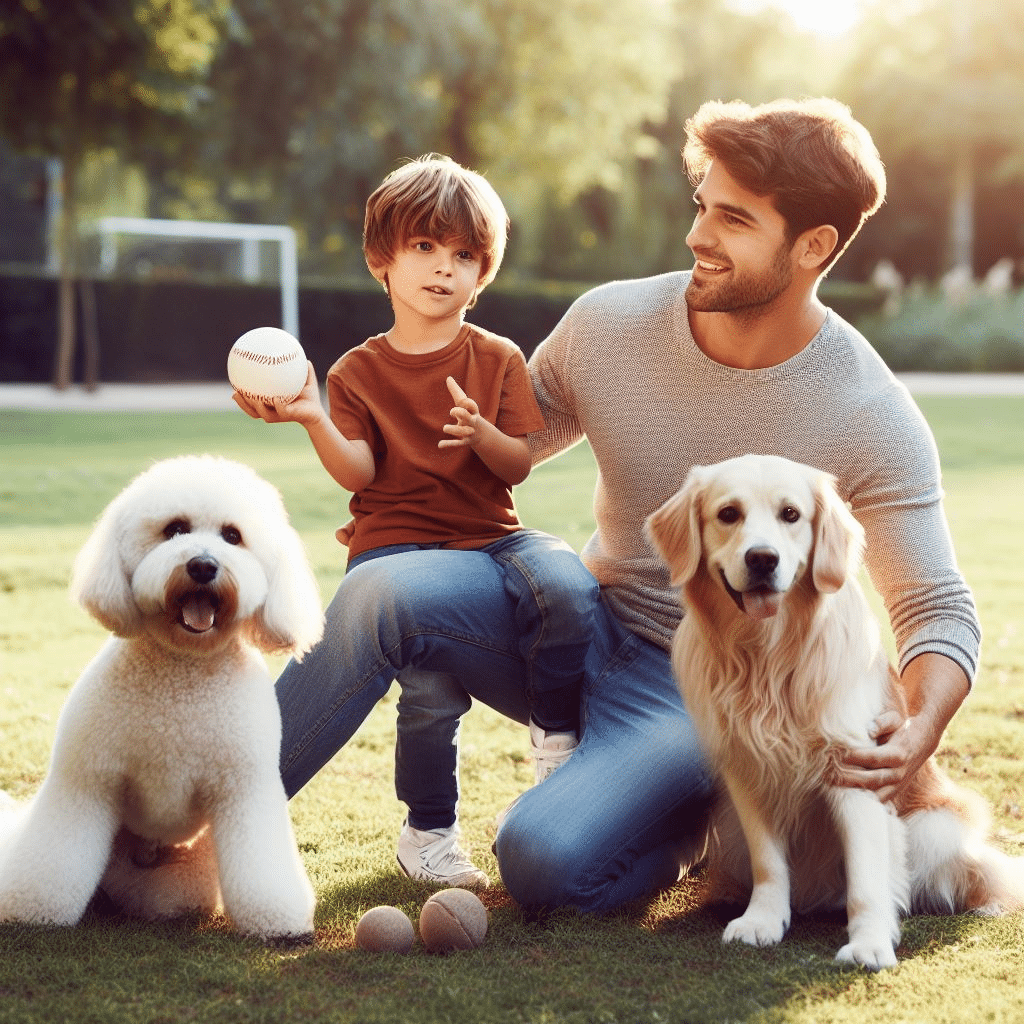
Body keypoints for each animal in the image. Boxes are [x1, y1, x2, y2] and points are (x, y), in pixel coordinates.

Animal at [0, 456, 321, 942]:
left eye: (232, 536)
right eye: (175, 529)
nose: (203, 565)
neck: (182, 671)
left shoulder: (245, 788)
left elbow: (262, 861)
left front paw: (277, 921)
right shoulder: (86, 782)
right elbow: (56, 855)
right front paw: (35, 910)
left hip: (175, 885)